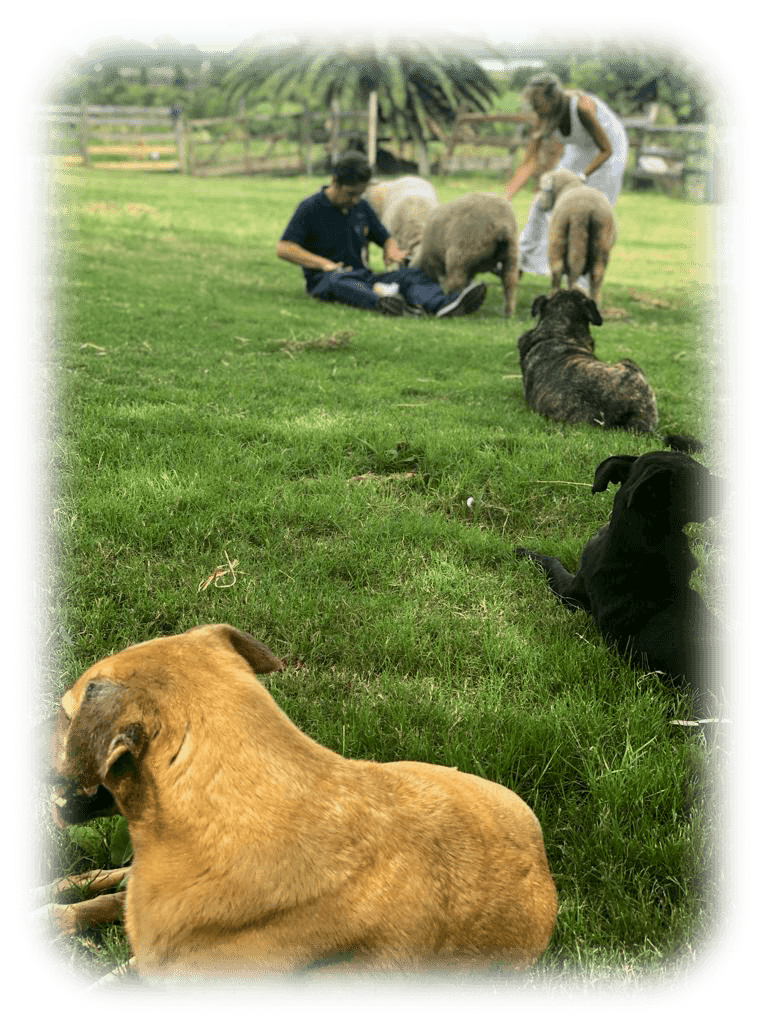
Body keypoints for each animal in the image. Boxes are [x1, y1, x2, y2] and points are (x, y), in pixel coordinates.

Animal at [518, 448, 733, 712]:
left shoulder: (571, 592)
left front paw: (525, 553)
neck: (634, 535)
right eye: (697, 482)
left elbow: (551, 562)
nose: (732, 485)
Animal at [536, 169, 622, 307]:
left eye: (543, 189)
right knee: (596, 275)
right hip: (601, 240)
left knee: (559, 269)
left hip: (558, 236)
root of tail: (584, 210)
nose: (539, 205)